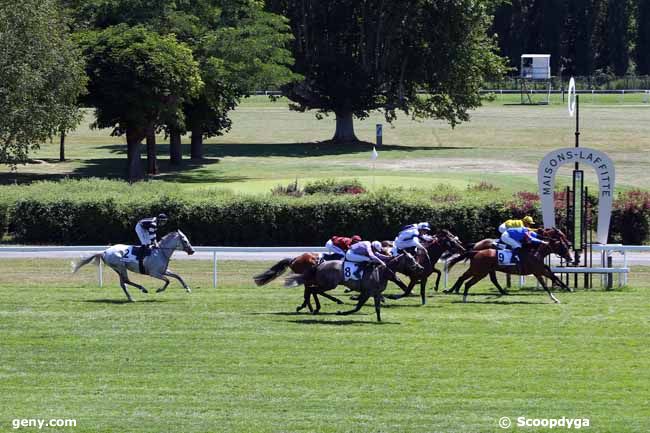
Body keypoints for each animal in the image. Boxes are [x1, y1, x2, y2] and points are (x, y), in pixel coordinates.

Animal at [284, 253, 420, 320]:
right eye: (411, 259)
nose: (420, 267)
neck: (382, 272)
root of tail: (318, 264)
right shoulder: (367, 292)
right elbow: (358, 307)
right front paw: (342, 312)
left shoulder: (374, 293)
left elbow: (376, 308)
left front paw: (380, 320)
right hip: (328, 284)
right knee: (312, 290)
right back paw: (314, 307)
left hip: (325, 283)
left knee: (311, 289)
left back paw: (311, 307)